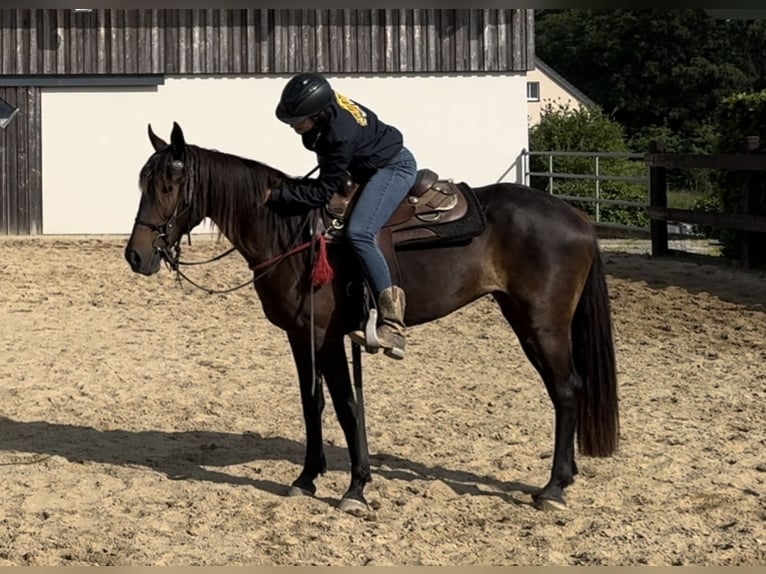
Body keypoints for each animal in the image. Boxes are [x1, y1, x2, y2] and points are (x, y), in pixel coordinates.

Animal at [124, 121, 616, 512]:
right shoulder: (299, 335)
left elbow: (346, 405)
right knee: (561, 390)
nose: (136, 256)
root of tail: (575, 218)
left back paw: (553, 487)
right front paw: (307, 478)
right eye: (143, 184)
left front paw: (356, 488)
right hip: (522, 318)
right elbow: (313, 402)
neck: (293, 234)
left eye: (167, 186)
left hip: (544, 322)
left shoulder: (326, 336)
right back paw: (564, 478)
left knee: (567, 389)